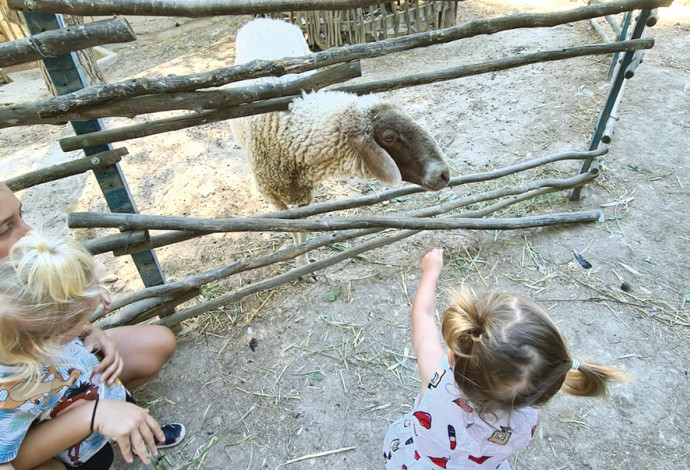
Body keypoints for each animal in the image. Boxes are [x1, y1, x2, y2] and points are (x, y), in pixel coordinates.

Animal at [228, 19, 448, 268]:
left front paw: (304, 260)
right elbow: (292, 228)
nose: (444, 174)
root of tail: (266, 19)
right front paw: (301, 263)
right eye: (389, 137)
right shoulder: (272, 196)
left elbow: (303, 228)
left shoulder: (307, 193)